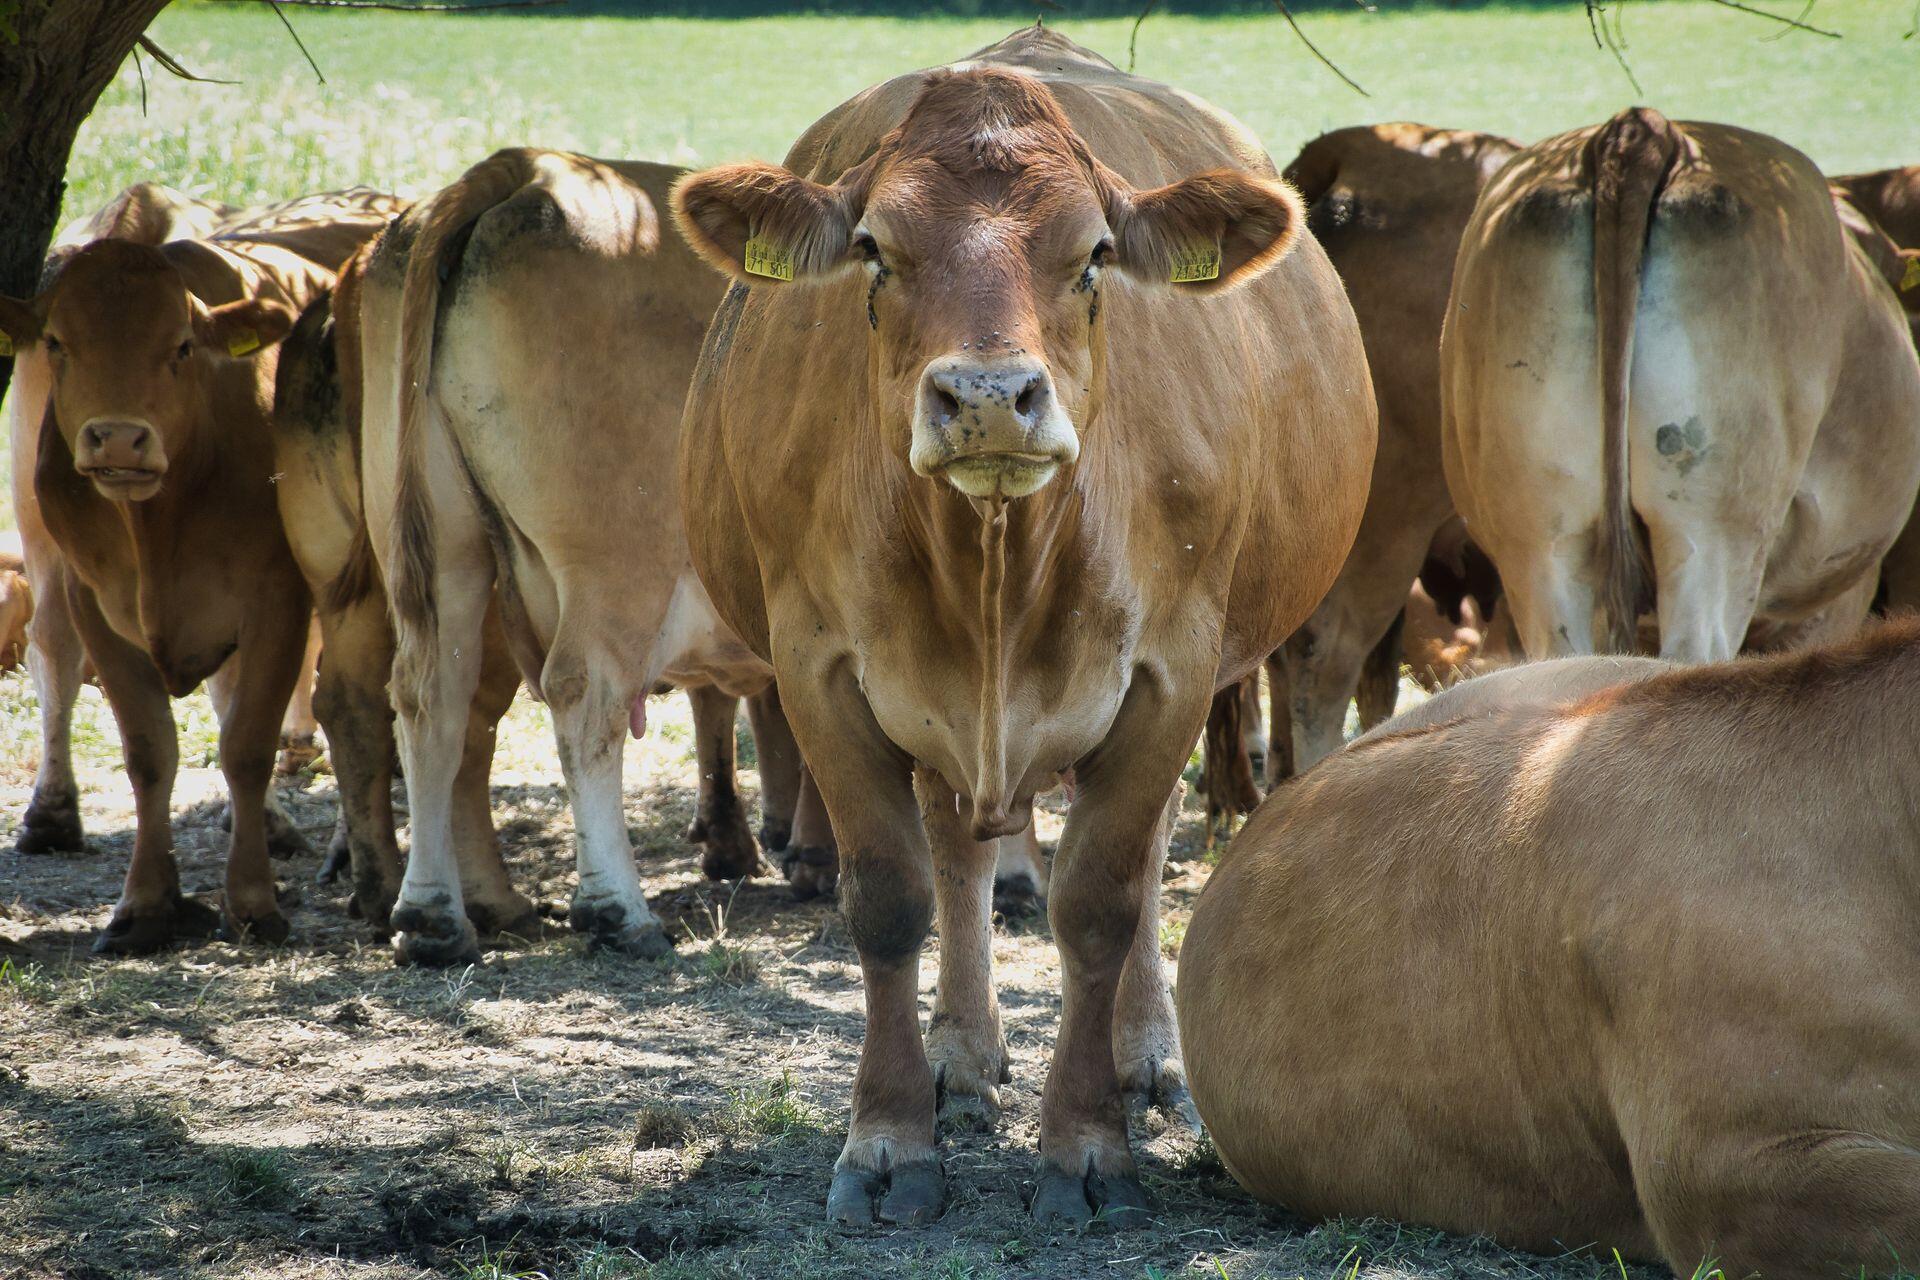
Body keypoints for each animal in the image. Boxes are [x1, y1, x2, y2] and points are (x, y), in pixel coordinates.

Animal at [0, 188, 395, 952]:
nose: (117, 438)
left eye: (181, 345)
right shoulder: (94, 598)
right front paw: (144, 906)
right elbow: (149, 751)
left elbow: (246, 744)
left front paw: (252, 902)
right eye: (58, 342)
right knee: (55, 648)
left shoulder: (276, 596)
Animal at [359, 148, 820, 966]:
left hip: (438, 544)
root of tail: (528, 166)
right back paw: (617, 911)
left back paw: (434, 918)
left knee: (432, 697)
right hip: (616, 561)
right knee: (585, 695)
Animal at [670, 25, 1374, 1225]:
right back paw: (962, 1051)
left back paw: (1146, 1052)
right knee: (956, 846)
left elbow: (1100, 899)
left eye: (1092, 255)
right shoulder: (820, 667)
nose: (992, 398)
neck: (994, 562)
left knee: (1136, 859)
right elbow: (890, 897)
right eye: (875, 249)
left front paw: (1087, 1145)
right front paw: (889, 1140)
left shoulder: (1171, 671)